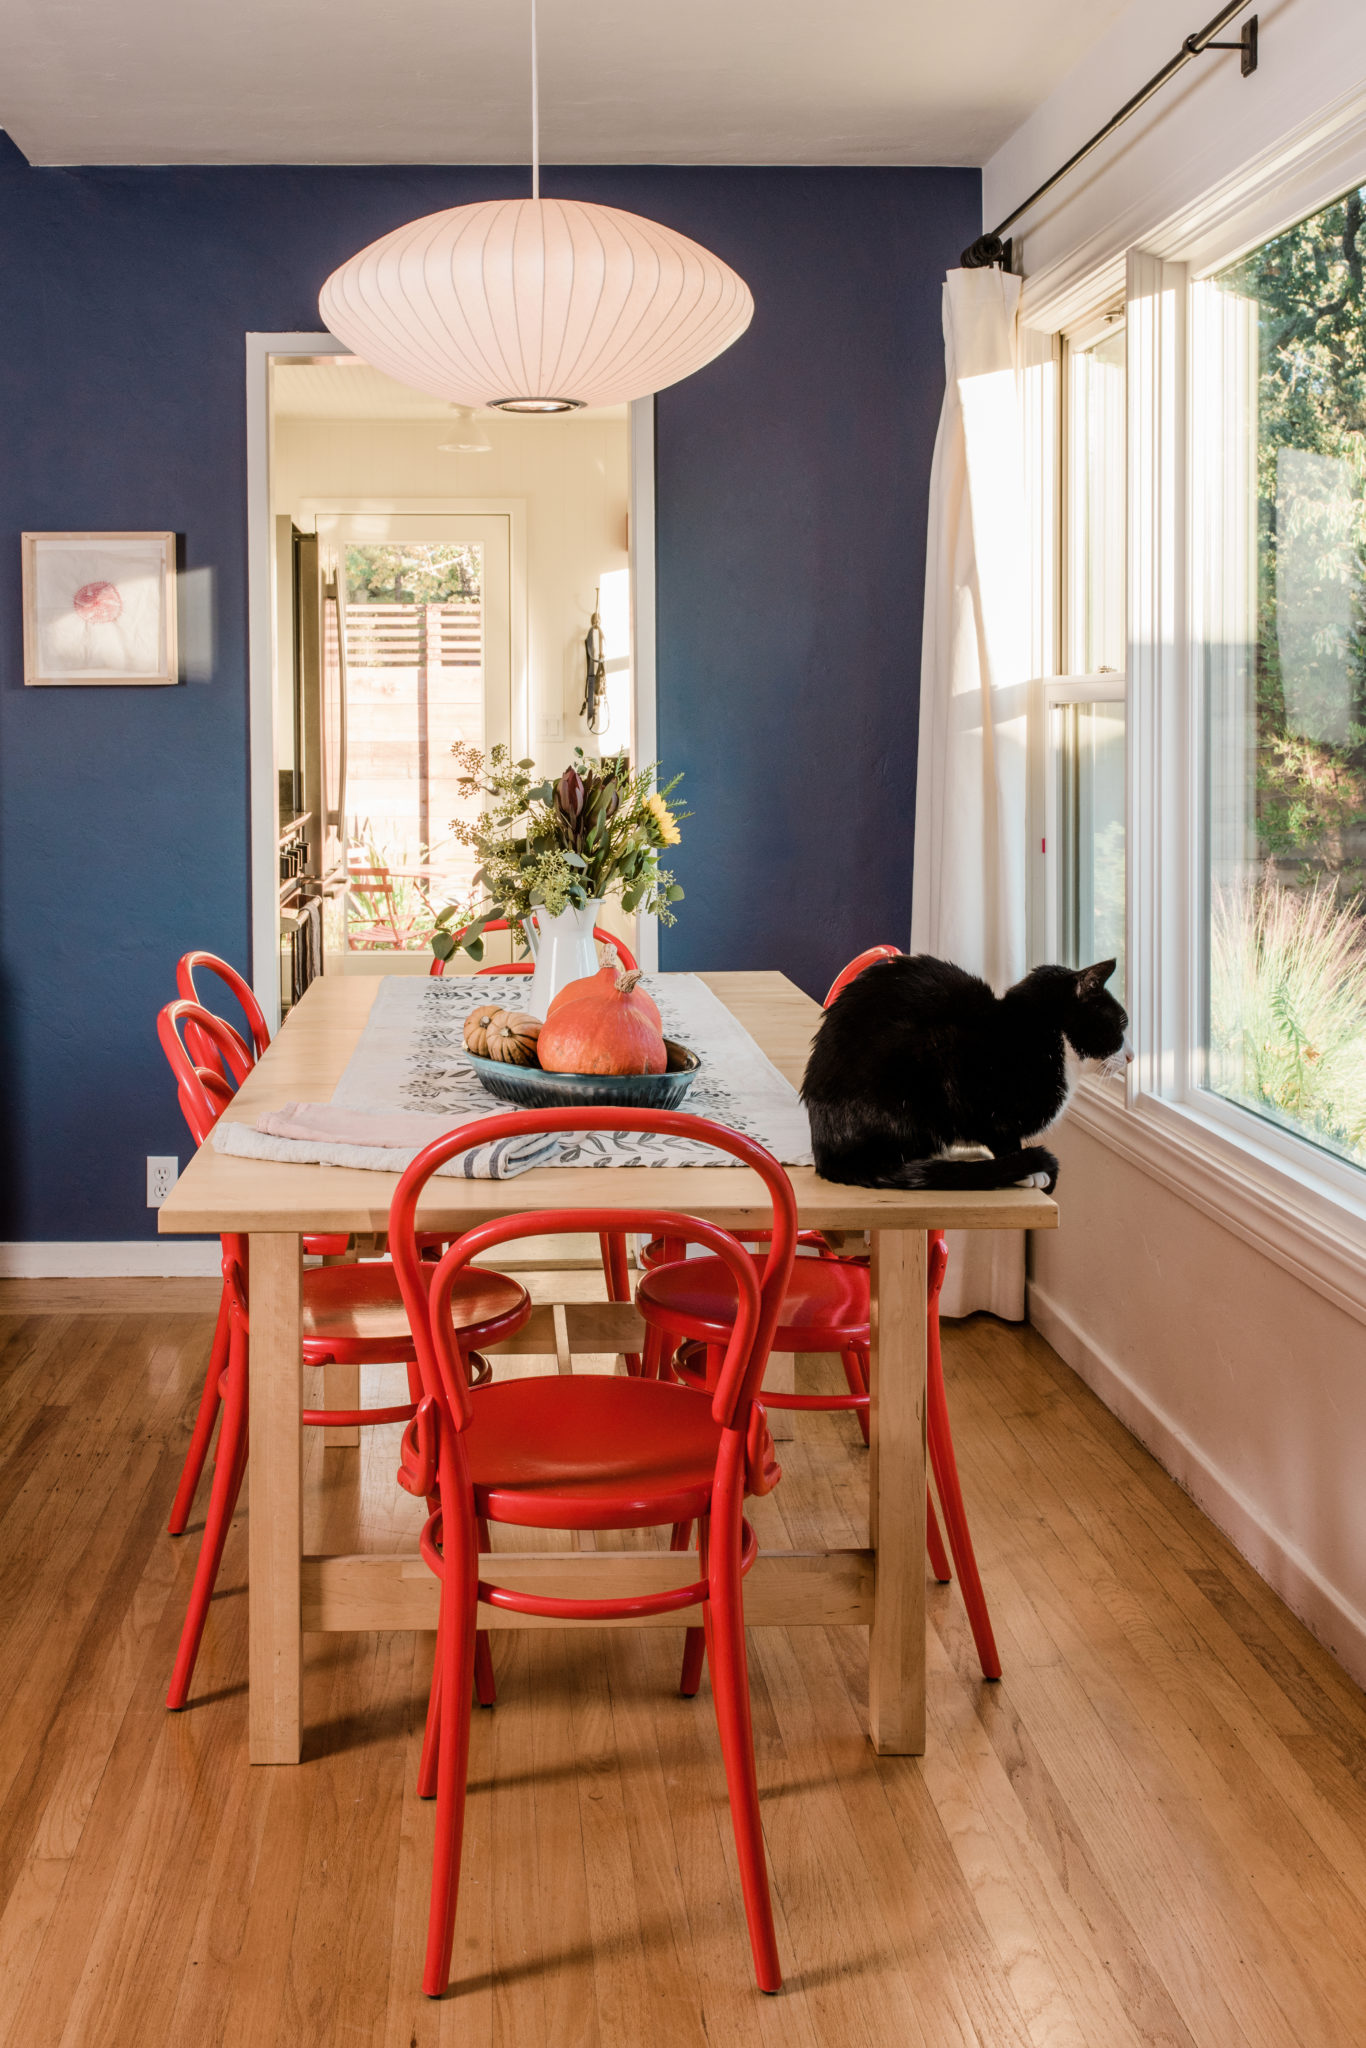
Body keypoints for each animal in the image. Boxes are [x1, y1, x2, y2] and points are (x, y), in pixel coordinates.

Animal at [802, 950, 1130, 1196]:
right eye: (1120, 1024)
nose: (1131, 1055)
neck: (1042, 1034)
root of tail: (827, 1152)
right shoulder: (978, 1091)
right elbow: (1002, 1136)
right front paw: (1026, 1169)